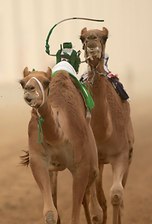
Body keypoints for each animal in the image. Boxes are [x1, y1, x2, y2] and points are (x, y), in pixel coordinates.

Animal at [19, 62, 102, 224]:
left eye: (46, 82)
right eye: (22, 82)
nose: (29, 90)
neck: (58, 137)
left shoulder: (81, 166)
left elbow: (75, 217)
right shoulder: (38, 161)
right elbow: (51, 213)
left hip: (92, 152)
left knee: (95, 202)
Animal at [79, 26, 134, 224]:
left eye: (105, 37)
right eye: (82, 38)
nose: (91, 41)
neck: (103, 132)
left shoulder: (121, 154)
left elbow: (116, 195)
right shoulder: (90, 161)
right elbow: (95, 207)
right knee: (90, 198)